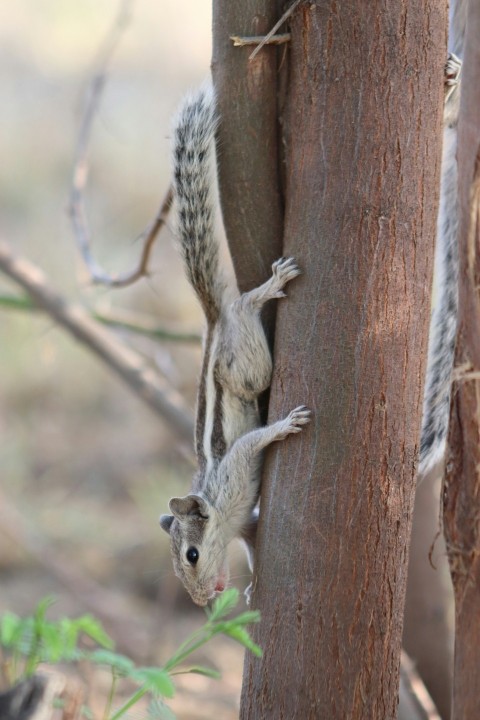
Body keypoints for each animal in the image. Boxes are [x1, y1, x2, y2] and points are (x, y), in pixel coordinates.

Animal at [159, 87, 314, 612]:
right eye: (178, 565)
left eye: (191, 554)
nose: (203, 597)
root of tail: (212, 321)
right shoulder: (244, 523)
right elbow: (250, 544)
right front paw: (249, 585)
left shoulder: (235, 473)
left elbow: (253, 442)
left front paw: (285, 426)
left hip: (243, 362)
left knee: (244, 306)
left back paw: (268, 287)